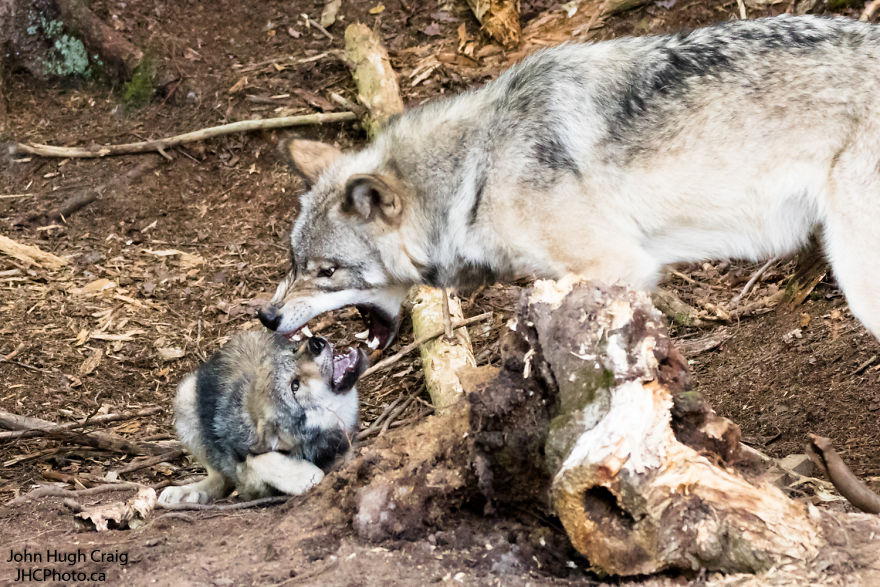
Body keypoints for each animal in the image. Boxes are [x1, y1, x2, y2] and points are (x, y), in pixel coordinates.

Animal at [158, 330, 366, 504]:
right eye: (295, 386)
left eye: (294, 351)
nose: (315, 342)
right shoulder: (248, 483)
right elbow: (259, 460)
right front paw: (305, 476)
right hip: (185, 396)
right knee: (219, 478)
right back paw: (187, 493)